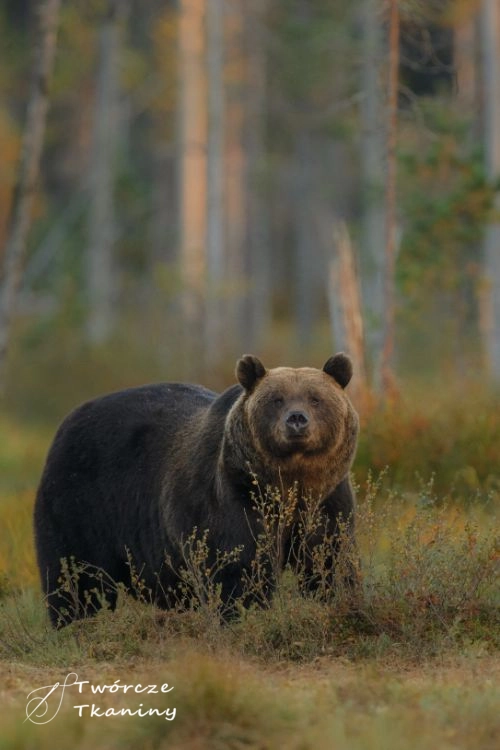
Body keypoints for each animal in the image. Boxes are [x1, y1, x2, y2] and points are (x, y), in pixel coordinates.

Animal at [34, 353, 359, 627]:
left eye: (315, 398)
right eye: (276, 400)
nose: (296, 419)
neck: (288, 483)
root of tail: (68, 419)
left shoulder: (328, 497)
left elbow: (330, 556)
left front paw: (337, 599)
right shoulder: (232, 493)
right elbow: (237, 565)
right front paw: (244, 613)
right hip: (80, 500)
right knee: (76, 574)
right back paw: (77, 622)